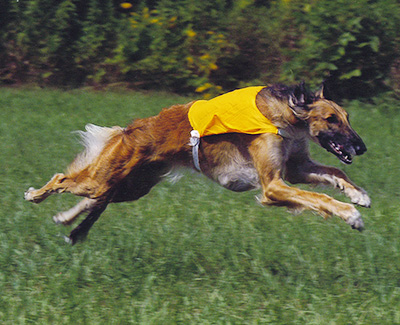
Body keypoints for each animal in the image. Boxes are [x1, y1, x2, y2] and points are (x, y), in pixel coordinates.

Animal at [24, 83, 368, 243]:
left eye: (347, 117)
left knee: (94, 199)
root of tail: (131, 130)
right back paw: (34, 195)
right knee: (63, 179)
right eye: (331, 119)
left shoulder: (294, 168)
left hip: (132, 185)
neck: (286, 114)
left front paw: (357, 194)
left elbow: (334, 171)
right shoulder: (273, 185)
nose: (362, 147)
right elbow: (318, 197)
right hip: (107, 176)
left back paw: (65, 219)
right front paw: (351, 215)